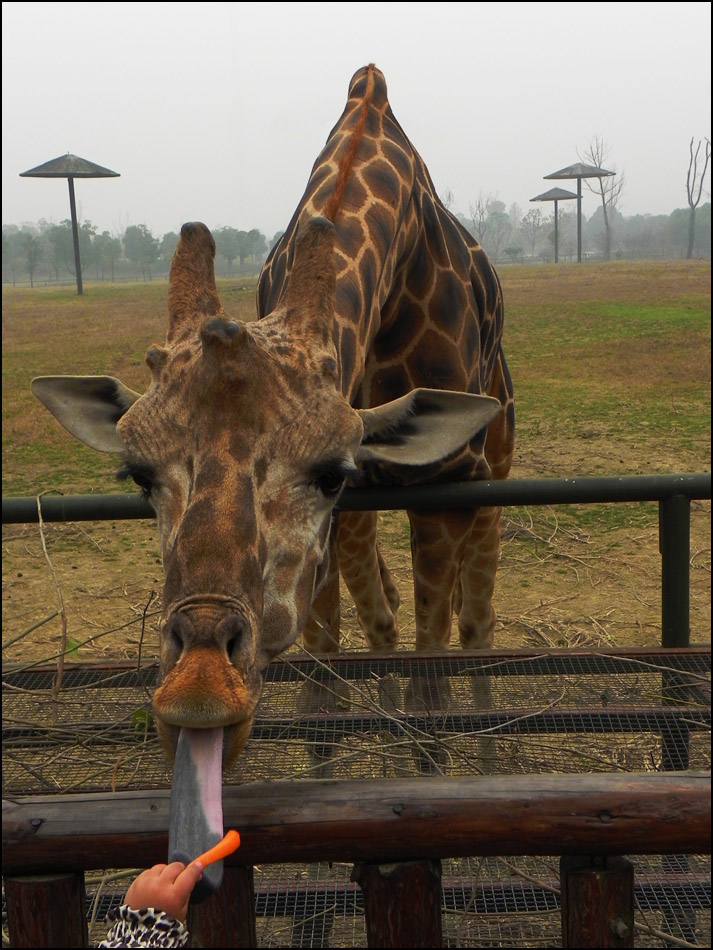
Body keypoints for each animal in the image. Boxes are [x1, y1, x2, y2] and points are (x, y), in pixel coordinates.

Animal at [32, 65, 512, 892]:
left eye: (327, 472)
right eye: (138, 475)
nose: (198, 690)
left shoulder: (436, 489)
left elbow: (434, 670)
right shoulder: (344, 525)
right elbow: (327, 681)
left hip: (492, 469)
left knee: (474, 626)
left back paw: (479, 759)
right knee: (383, 621)